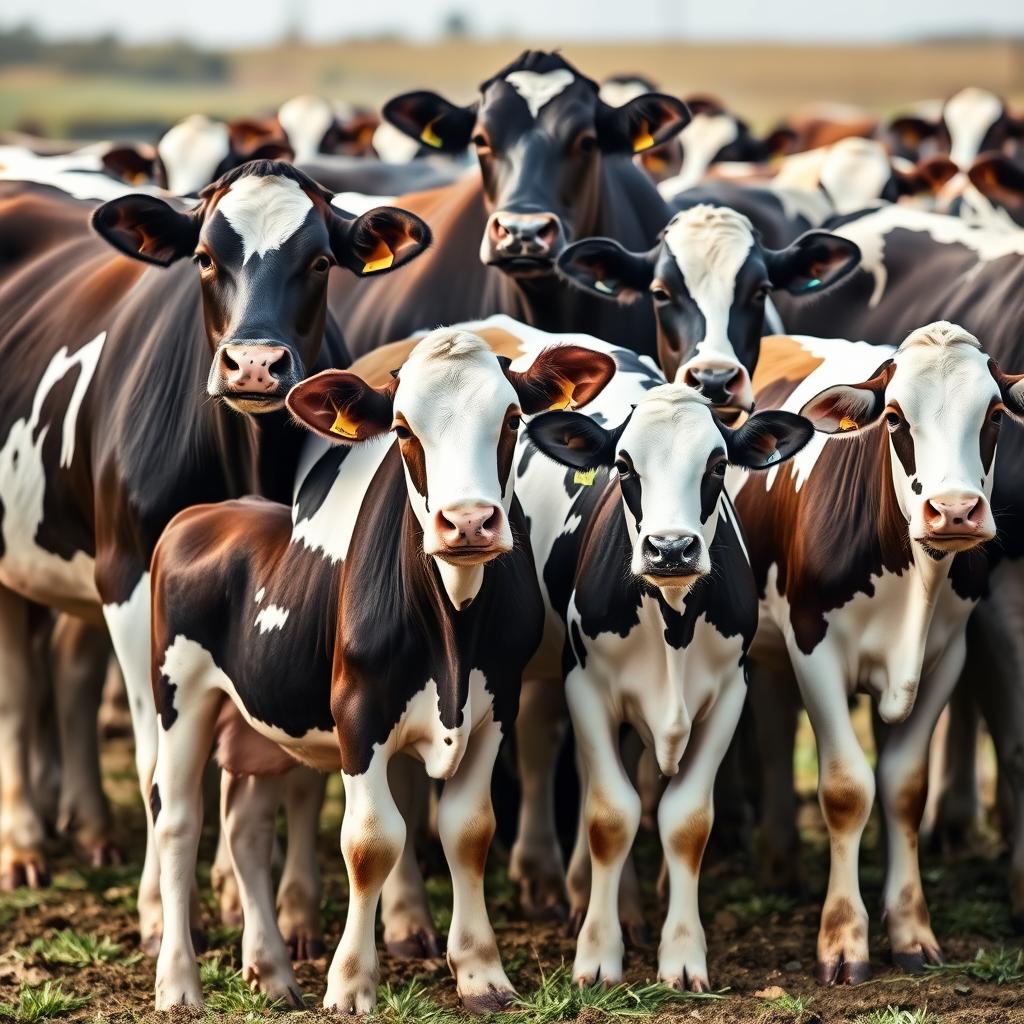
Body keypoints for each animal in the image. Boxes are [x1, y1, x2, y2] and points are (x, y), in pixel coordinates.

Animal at [0, 160, 428, 944]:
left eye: (320, 261)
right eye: (204, 258)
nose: (253, 365)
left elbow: (259, 759)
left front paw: (242, 895)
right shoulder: (132, 581)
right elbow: (159, 763)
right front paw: (159, 912)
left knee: (70, 673)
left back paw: (91, 827)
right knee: (19, 690)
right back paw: (23, 844)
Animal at [145, 327, 616, 1012]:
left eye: (510, 420)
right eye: (401, 428)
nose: (468, 521)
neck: (452, 633)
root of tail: (205, 514)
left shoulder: (498, 702)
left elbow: (469, 829)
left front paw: (482, 974)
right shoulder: (357, 712)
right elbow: (371, 840)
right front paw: (349, 983)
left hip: (258, 721)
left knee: (245, 828)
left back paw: (272, 971)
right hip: (178, 693)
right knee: (179, 820)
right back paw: (179, 983)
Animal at [732, 323, 1023, 982]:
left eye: (994, 413)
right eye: (894, 417)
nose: (955, 510)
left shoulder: (947, 656)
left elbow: (904, 789)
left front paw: (912, 931)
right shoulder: (811, 645)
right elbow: (847, 790)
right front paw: (843, 940)